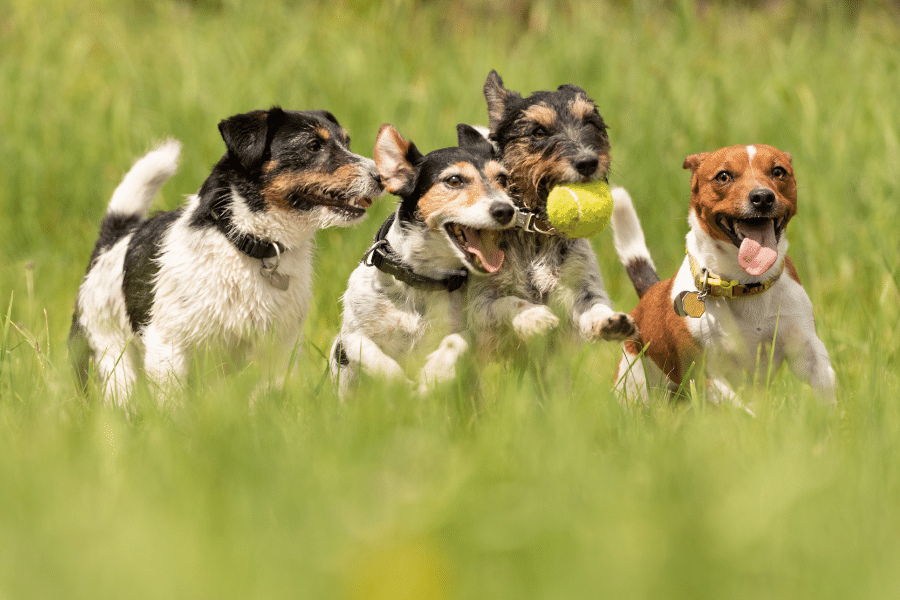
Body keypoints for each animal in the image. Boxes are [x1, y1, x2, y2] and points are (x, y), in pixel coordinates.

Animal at [67, 108, 384, 408]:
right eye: (313, 145)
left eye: (346, 142)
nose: (381, 177)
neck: (248, 244)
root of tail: (111, 243)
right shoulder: (168, 346)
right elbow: (172, 404)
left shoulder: (277, 349)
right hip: (111, 360)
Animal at [468, 71, 636, 356]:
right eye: (539, 132)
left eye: (590, 123)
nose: (587, 162)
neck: (536, 234)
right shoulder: (479, 304)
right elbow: (509, 302)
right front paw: (534, 316)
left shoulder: (582, 286)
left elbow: (594, 306)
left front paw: (609, 321)